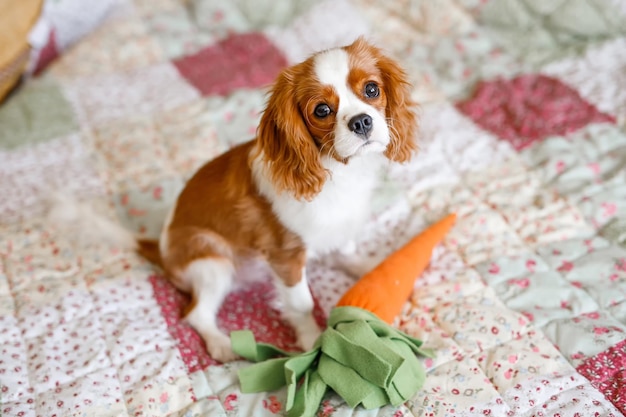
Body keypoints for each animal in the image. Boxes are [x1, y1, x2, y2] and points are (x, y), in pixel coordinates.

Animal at [123, 38, 414, 360]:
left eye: (372, 89)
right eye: (322, 110)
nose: (361, 122)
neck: (338, 172)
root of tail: (161, 249)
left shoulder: (342, 225)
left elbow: (346, 251)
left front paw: (375, 270)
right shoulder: (285, 256)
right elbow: (301, 304)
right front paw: (312, 342)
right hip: (212, 260)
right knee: (195, 313)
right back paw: (220, 344)